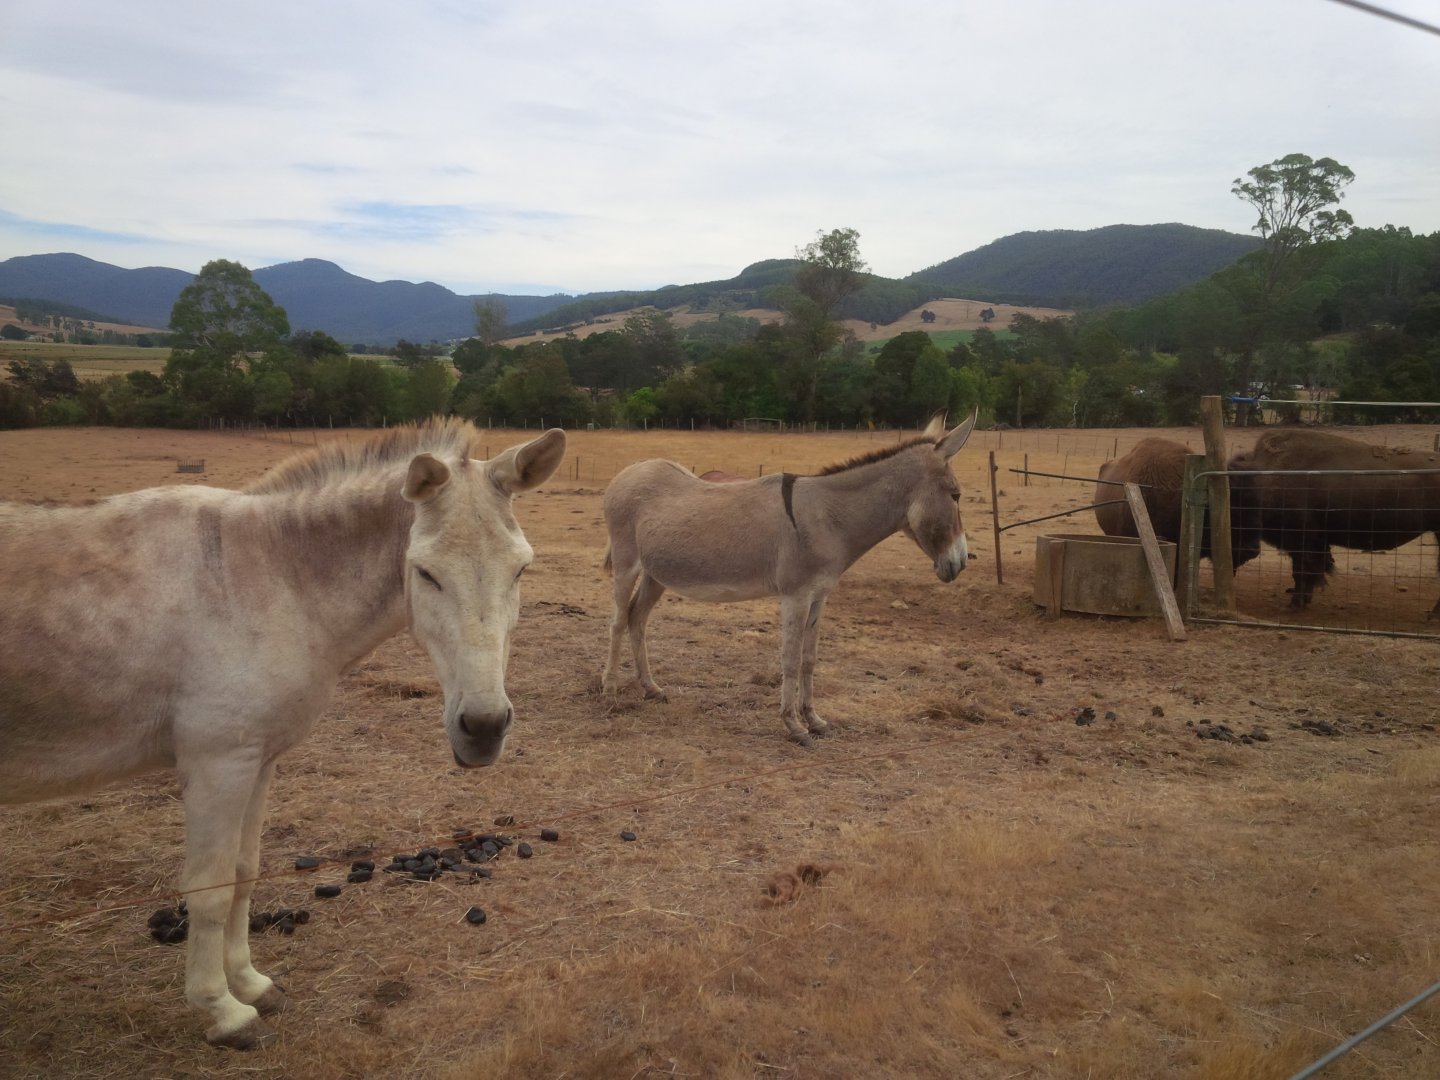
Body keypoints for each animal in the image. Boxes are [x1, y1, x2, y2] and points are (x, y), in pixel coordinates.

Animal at [1226, 429, 1440, 614]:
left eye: (1234, 508)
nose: (1250, 550)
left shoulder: (1302, 540)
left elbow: (1302, 572)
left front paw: (1296, 604)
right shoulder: (1315, 542)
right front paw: (1304, 600)